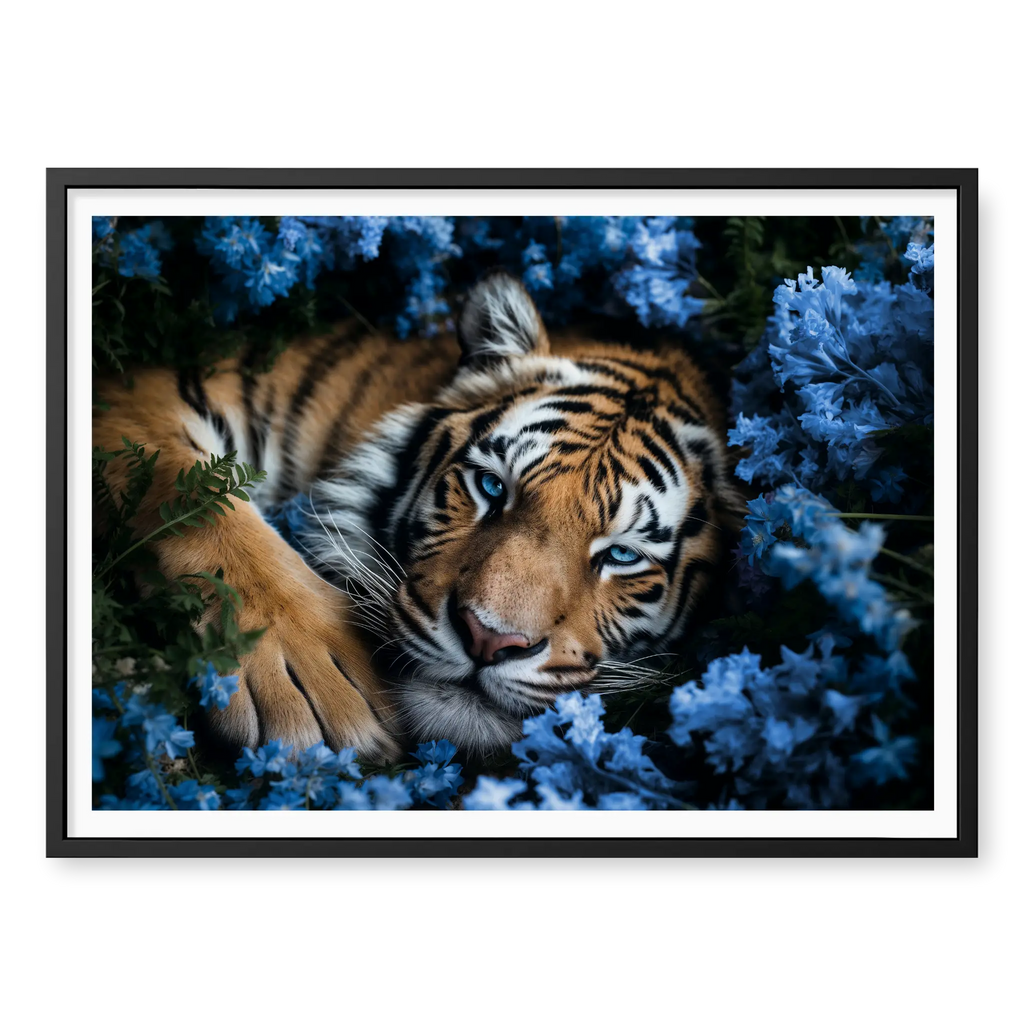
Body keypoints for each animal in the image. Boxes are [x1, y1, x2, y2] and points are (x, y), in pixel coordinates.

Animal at [94, 270, 740, 762]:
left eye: (622, 555)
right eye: (491, 487)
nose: (489, 640)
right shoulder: (148, 390)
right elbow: (196, 499)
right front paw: (308, 677)